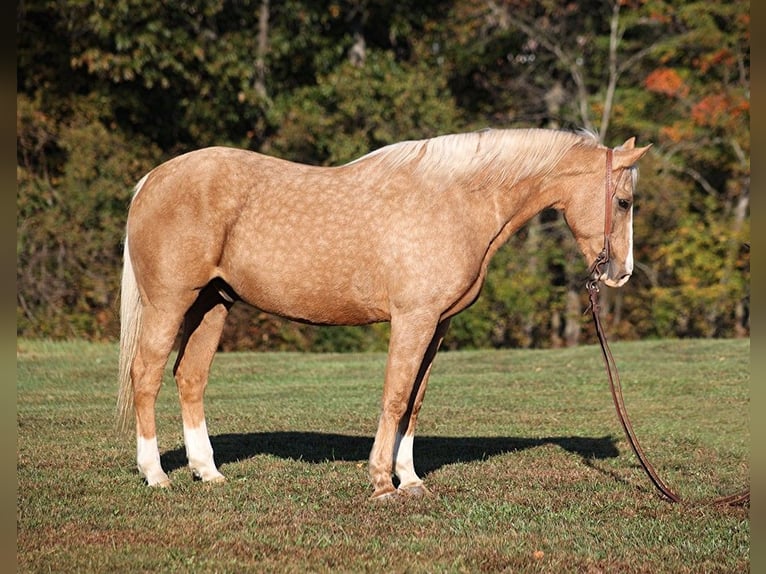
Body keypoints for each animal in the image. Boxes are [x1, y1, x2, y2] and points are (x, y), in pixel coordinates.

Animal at [117, 128, 650, 500]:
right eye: (623, 201)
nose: (621, 273)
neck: (455, 201)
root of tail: (151, 181)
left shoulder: (438, 324)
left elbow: (414, 402)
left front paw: (410, 479)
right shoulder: (413, 319)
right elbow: (395, 397)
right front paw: (380, 482)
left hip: (213, 303)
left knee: (190, 377)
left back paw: (207, 472)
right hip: (170, 302)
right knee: (146, 375)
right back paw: (156, 475)